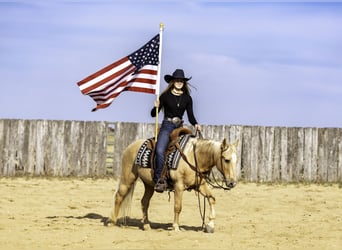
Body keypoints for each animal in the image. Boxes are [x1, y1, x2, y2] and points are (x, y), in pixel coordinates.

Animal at [109, 132, 238, 231]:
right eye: (226, 160)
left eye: (236, 161)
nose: (232, 183)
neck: (193, 157)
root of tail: (130, 146)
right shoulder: (179, 186)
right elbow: (178, 206)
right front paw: (176, 226)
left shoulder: (200, 185)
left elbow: (212, 199)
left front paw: (210, 224)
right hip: (128, 178)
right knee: (119, 196)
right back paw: (112, 222)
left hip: (149, 184)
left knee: (144, 202)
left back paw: (146, 225)